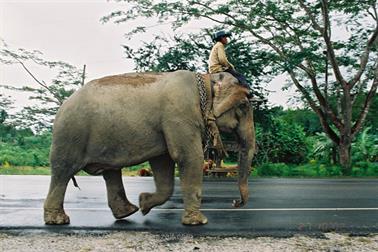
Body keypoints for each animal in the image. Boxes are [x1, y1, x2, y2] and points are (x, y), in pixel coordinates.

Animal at [44, 70, 256, 225]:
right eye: (244, 106)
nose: (235, 203)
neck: (206, 79)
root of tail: (64, 104)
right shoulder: (179, 115)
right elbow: (188, 157)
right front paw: (198, 222)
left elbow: (163, 162)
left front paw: (144, 203)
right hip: (70, 135)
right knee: (63, 171)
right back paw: (58, 220)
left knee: (111, 172)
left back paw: (128, 212)